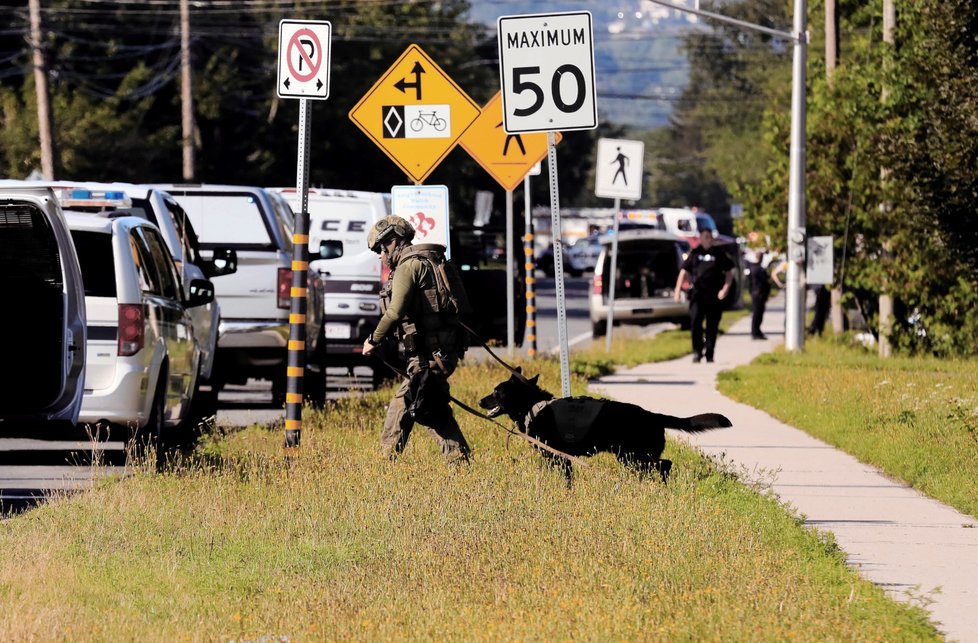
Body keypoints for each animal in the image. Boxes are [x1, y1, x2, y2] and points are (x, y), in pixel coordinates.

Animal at [476, 370, 728, 486]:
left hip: (633, 456)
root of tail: (652, 416)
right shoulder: (562, 459)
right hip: (633, 458)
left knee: (664, 465)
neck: (533, 405)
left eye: (497, 392)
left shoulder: (557, 457)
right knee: (660, 466)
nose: (479, 401)